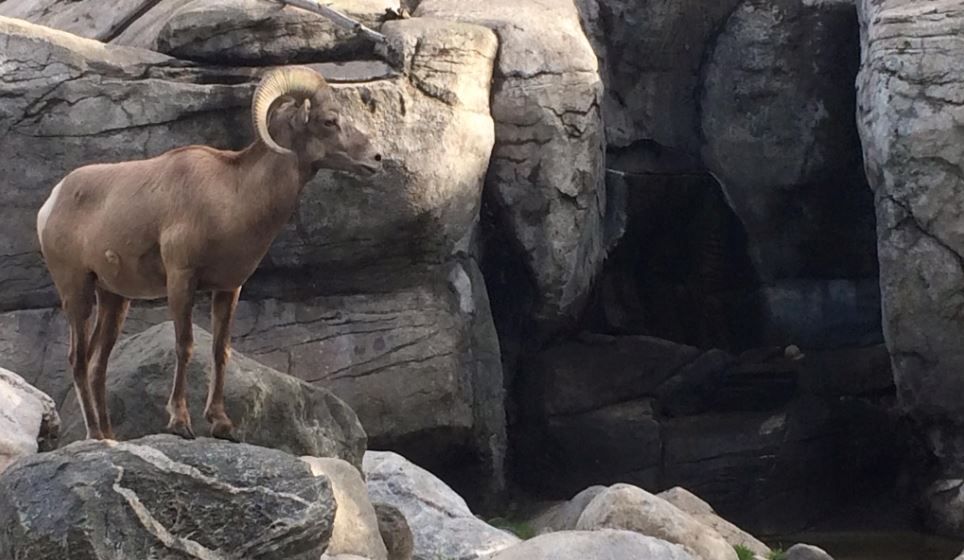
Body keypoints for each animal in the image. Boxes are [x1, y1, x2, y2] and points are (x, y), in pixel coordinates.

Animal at [36, 66, 382, 442]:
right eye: (329, 121)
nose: (377, 159)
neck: (232, 196)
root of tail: (51, 202)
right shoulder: (181, 279)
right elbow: (185, 345)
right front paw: (180, 422)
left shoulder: (229, 288)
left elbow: (220, 350)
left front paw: (222, 424)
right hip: (77, 291)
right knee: (78, 360)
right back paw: (96, 436)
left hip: (114, 299)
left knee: (97, 363)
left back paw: (109, 434)